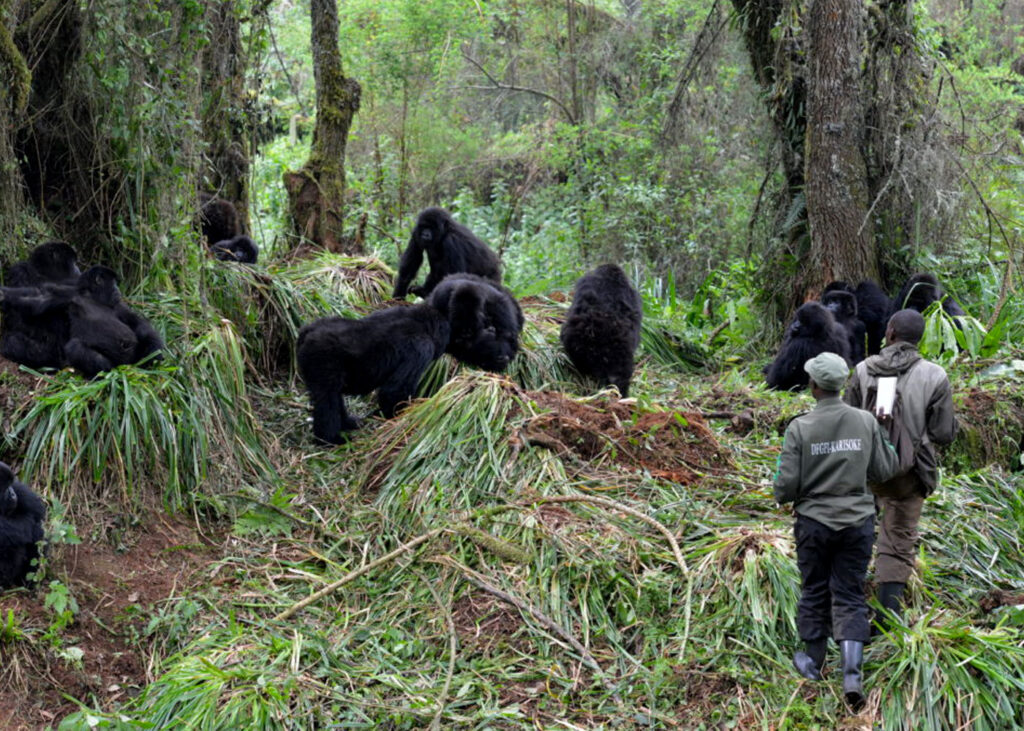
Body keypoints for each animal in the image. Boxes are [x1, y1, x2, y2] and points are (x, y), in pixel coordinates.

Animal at [294, 303, 450, 444]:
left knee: (334, 395)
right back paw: (329, 439)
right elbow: (394, 392)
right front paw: (395, 419)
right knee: (327, 398)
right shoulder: (421, 348)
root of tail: (306, 331)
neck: (420, 322)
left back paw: (347, 423)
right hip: (322, 358)